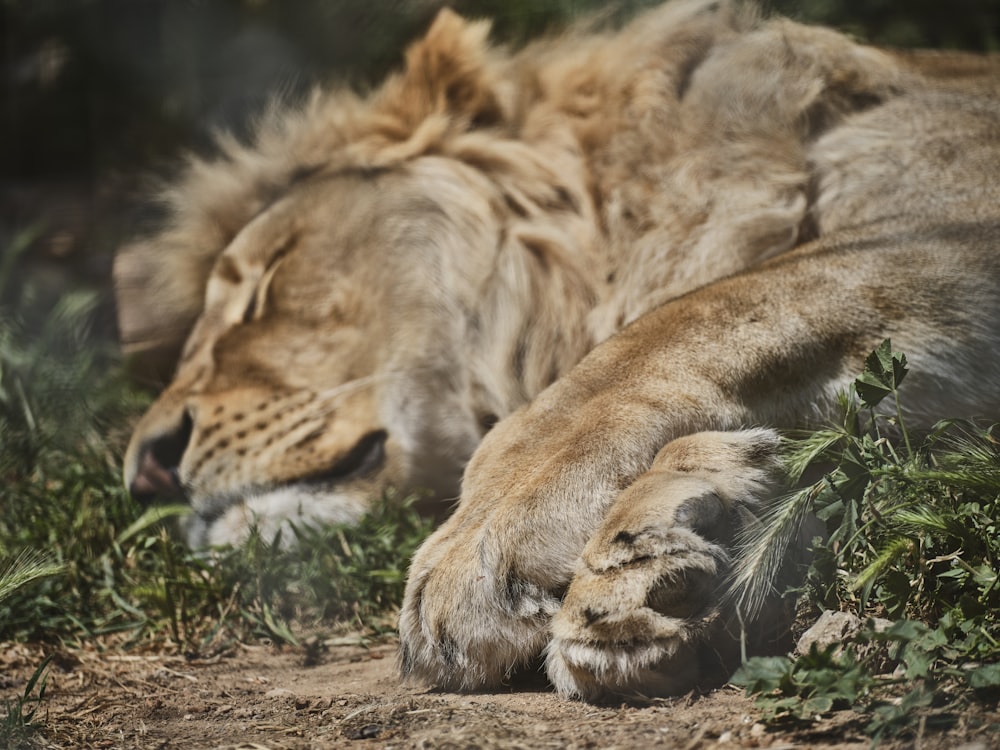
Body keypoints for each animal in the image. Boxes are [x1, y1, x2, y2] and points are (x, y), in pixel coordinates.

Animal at [121, 0, 1000, 704]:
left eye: (266, 281)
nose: (146, 471)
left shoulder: (950, 210)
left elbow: (684, 320)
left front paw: (493, 532)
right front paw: (676, 535)